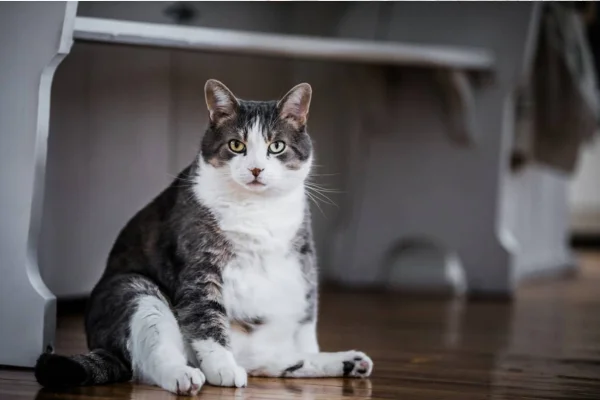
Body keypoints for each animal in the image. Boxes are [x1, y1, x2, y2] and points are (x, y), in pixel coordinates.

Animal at [35, 79, 372, 396]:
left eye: (277, 146)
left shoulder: (303, 257)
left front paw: (313, 352)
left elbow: (306, 319)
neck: (256, 209)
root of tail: (102, 346)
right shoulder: (199, 263)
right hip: (133, 290)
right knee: (149, 362)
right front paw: (223, 367)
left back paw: (348, 362)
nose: (256, 169)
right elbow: (206, 317)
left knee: (271, 360)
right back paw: (185, 375)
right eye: (236, 145)